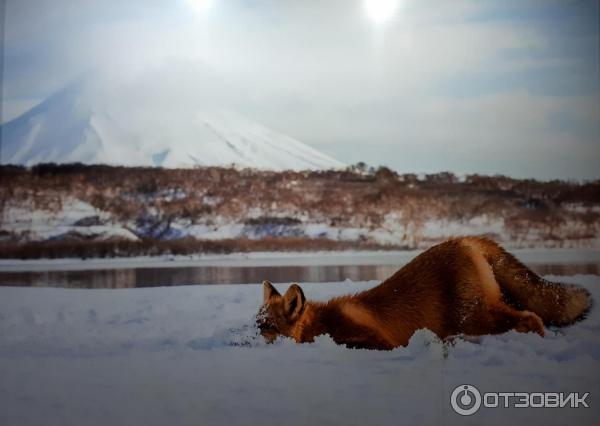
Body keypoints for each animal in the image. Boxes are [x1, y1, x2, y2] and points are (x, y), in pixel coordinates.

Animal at [254, 236, 592, 350]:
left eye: (268, 328)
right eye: (255, 325)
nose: (245, 344)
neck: (322, 323)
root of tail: (467, 239)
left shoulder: (382, 342)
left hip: (474, 317)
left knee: (532, 319)